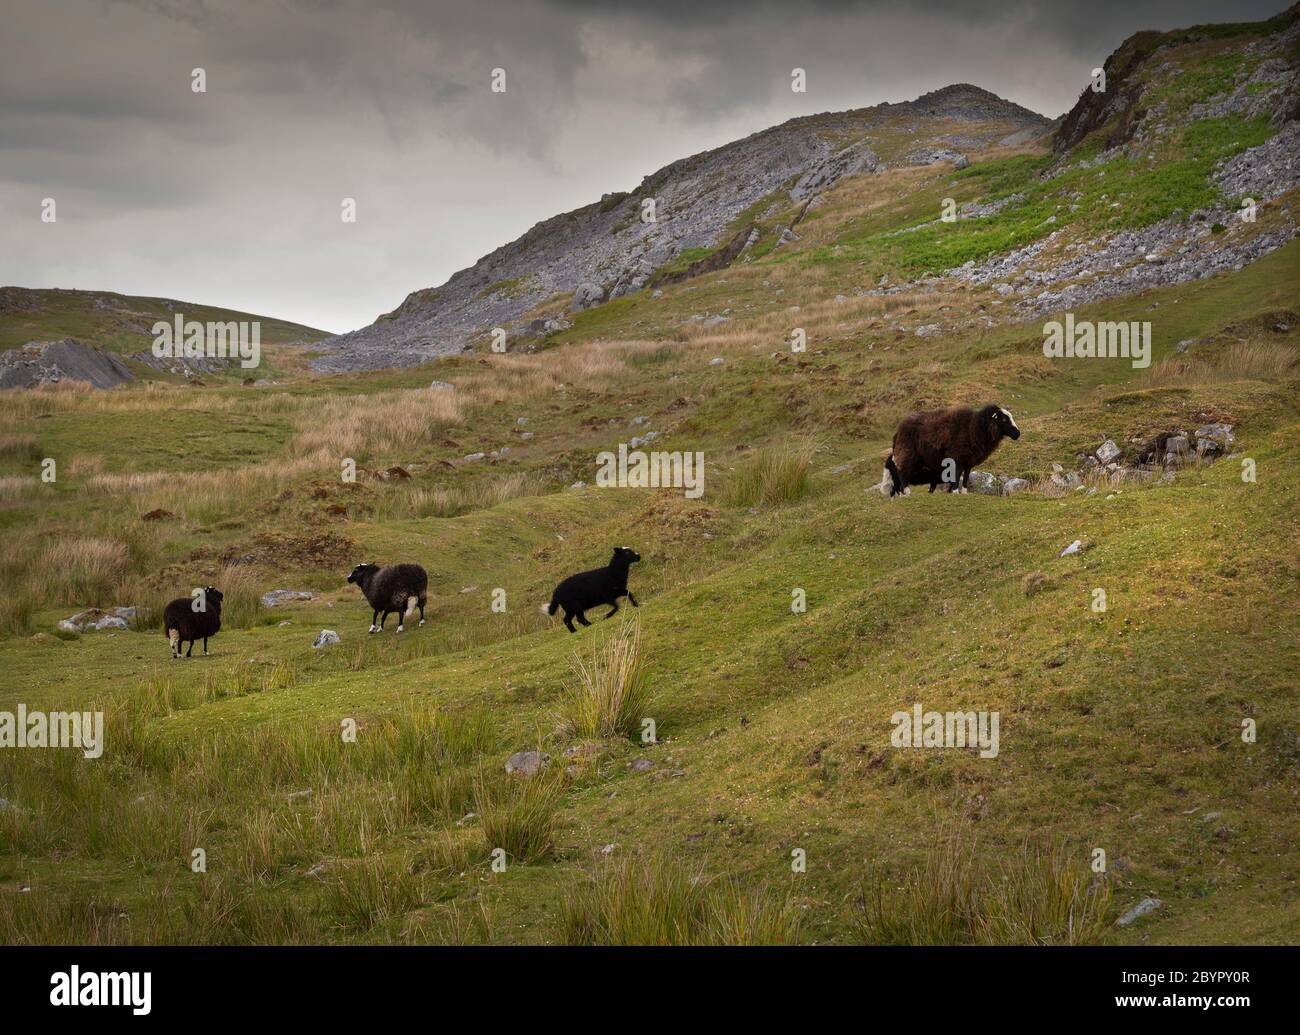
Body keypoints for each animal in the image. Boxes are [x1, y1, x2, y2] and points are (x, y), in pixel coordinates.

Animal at [883, 403, 1024, 496]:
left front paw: (964, 492)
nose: (1017, 434)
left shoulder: (968, 460)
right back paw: (906, 491)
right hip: (907, 453)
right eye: (1004, 419)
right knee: (902, 472)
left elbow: (966, 476)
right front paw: (955, 491)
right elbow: (957, 475)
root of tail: (898, 431)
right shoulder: (957, 457)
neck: (975, 427)